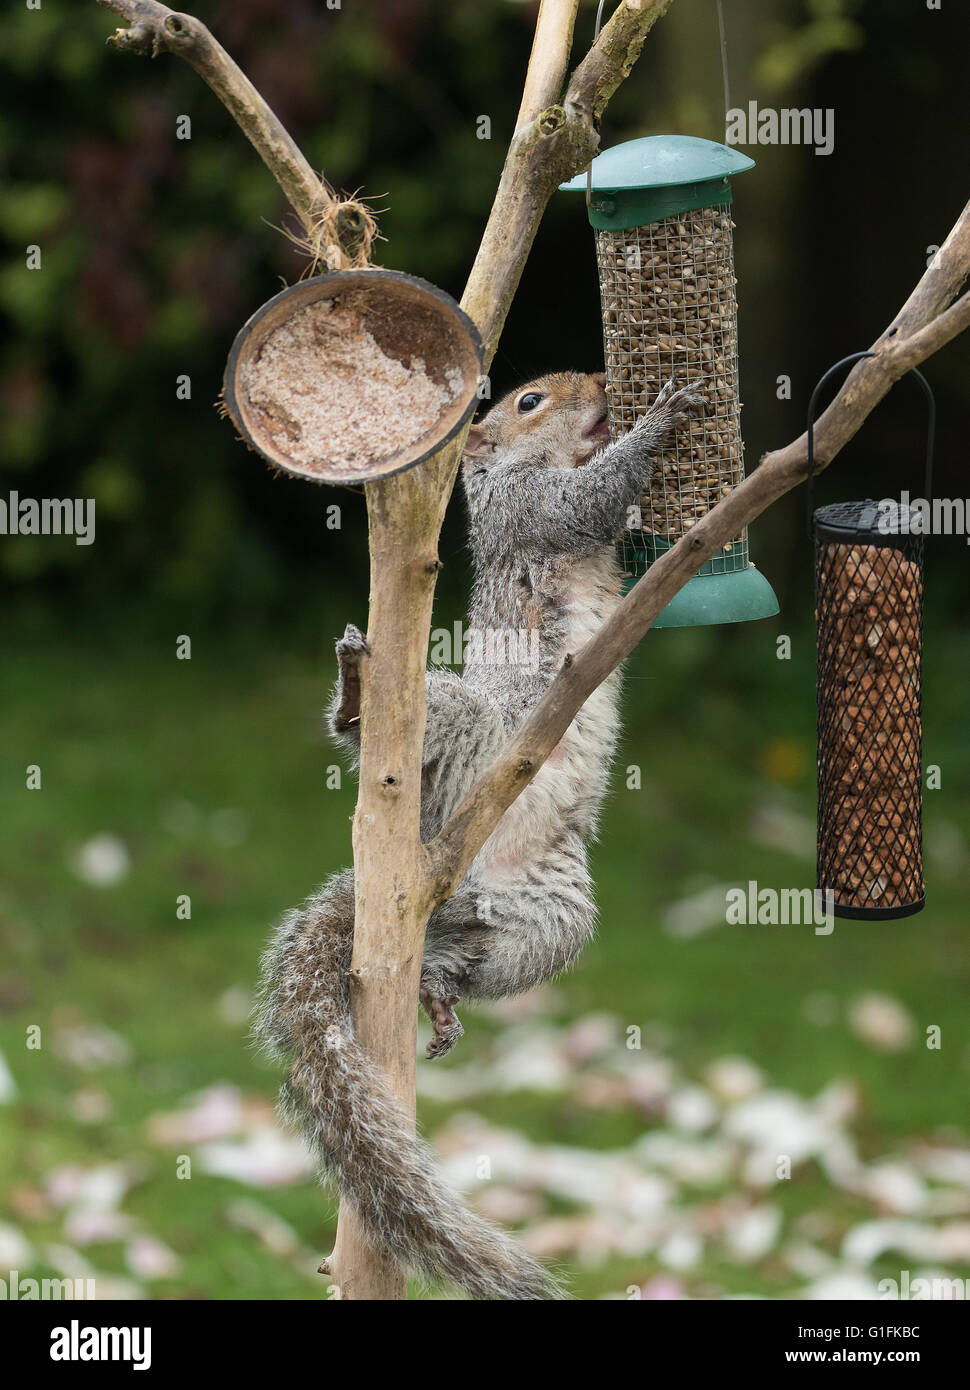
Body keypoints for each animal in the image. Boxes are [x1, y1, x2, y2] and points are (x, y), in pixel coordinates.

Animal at [255, 372, 702, 1300]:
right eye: (530, 400)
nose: (601, 385)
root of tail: (443, 863)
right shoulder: (524, 514)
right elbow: (584, 500)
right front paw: (657, 424)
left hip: (549, 919)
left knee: (468, 953)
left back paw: (436, 990)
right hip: (470, 728)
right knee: (411, 727)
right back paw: (357, 698)